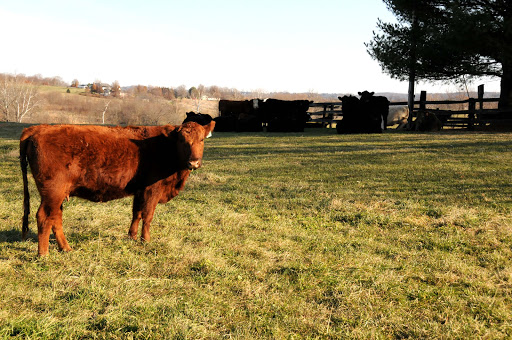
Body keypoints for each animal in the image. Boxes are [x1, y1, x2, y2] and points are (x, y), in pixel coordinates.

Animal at [19, 121, 215, 256]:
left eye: (201, 139)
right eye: (182, 140)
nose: (194, 162)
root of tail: (38, 128)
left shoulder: (139, 190)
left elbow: (137, 213)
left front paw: (132, 236)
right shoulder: (152, 189)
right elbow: (148, 216)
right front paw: (146, 240)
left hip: (58, 194)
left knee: (55, 218)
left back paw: (66, 248)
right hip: (53, 192)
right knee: (44, 217)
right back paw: (43, 254)